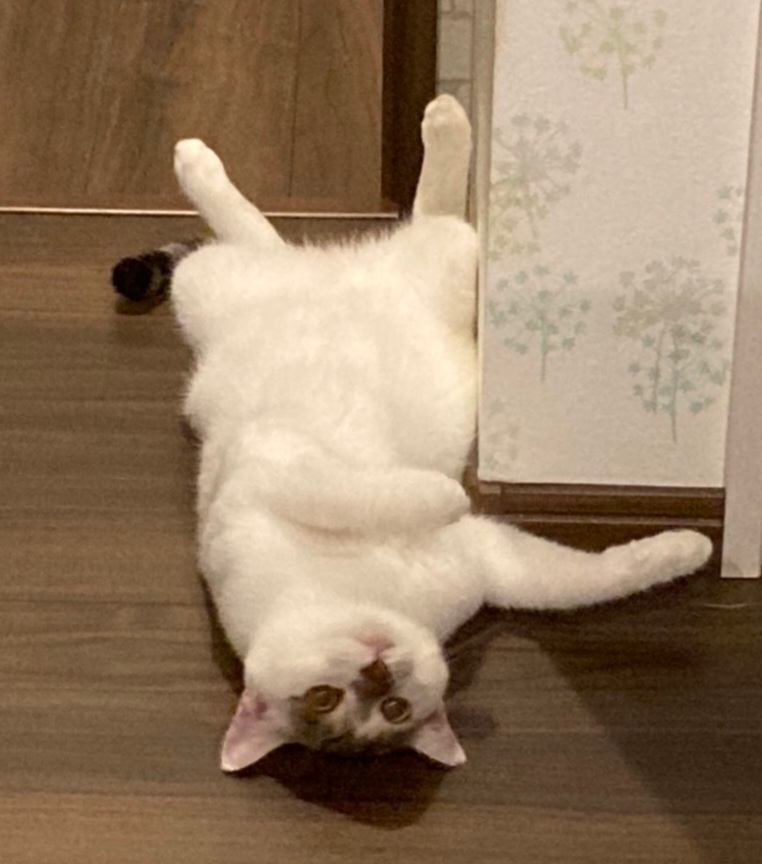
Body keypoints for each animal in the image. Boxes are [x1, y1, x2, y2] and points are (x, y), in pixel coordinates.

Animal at [169, 95, 712, 772]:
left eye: (378, 702)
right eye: (335, 702)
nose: (376, 671)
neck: (370, 592)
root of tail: (329, 269)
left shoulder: (288, 479)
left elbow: (586, 579)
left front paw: (687, 547)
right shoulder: (479, 554)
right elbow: (555, 572)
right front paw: (450, 496)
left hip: (207, 283)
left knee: (258, 229)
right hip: (437, 263)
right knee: (438, 219)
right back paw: (444, 121)